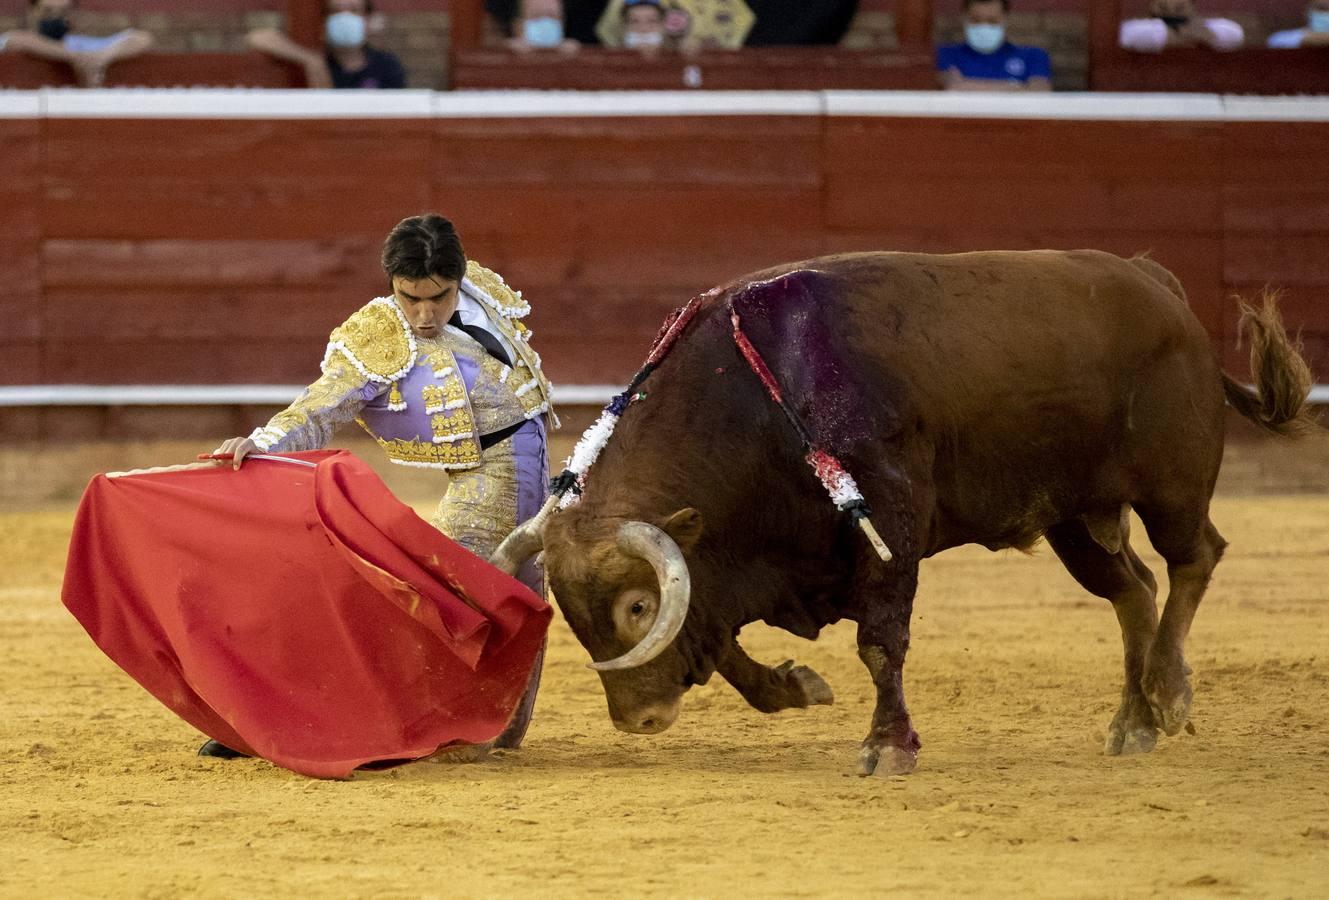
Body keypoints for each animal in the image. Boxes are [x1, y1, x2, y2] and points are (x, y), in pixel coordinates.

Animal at [494, 248, 1313, 776]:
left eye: (636, 608)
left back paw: (1169, 693)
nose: (638, 720)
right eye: (572, 615)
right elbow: (720, 640)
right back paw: (1132, 723)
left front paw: (887, 745)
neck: (762, 393)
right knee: (1133, 591)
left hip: (1171, 486)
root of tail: (1156, 281)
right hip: (1074, 516)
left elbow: (880, 642)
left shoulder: (890, 522)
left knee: (1193, 558)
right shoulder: (739, 563)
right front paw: (796, 687)